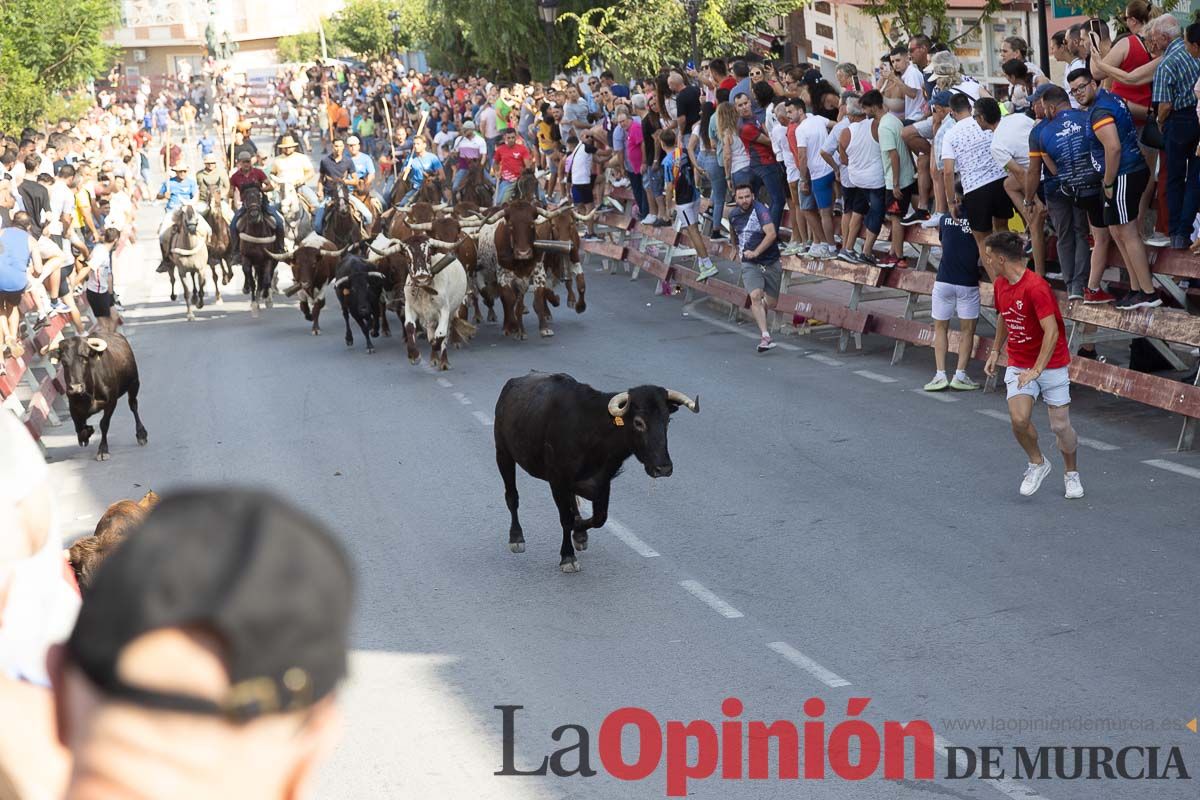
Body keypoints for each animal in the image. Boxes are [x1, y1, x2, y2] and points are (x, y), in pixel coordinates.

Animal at [492, 371, 700, 573]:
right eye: (638, 422)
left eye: (667, 420)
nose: (663, 467)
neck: (592, 430)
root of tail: (511, 385)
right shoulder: (557, 480)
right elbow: (565, 518)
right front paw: (568, 557)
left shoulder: (602, 482)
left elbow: (599, 518)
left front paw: (579, 532)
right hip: (503, 454)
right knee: (512, 496)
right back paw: (516, 538)